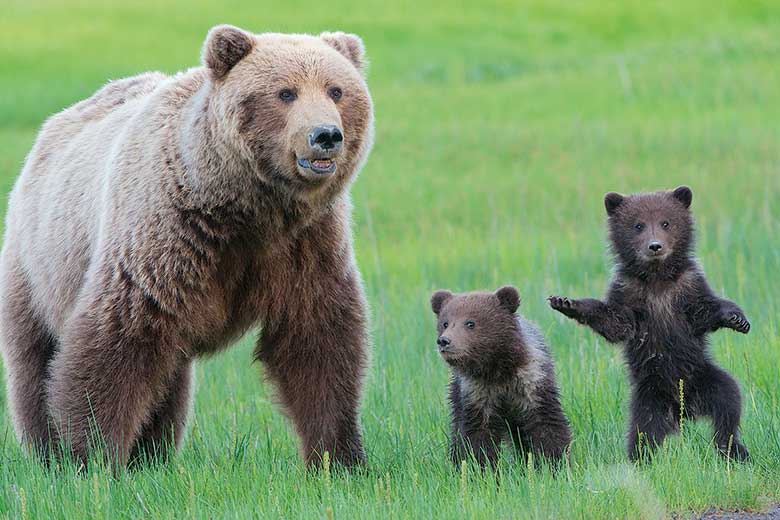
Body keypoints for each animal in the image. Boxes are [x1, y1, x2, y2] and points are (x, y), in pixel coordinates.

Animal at [0, 25, 374, 472]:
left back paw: (153, 454)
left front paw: (341, 458)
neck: (246, 208)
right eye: (285, 92)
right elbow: (115, 342)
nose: (325, 135)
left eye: (336, 90)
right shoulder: (168, 238)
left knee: (168, 378)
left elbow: (318, 341)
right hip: (37, 261)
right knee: (35, 359)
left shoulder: (304, 244)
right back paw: (47, 453)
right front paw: (93, 457)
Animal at [430, 286, 568, 470]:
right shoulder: (477, 392)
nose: (444, 341)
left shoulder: (532, 382)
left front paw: (554, 463)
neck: (498, 368)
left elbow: (546, 422)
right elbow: (478, 434)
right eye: (445, 323)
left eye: (470, 323)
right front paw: (482, 468)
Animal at [548, 185, 748, 462]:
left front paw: (737, 318)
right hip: (649, 396)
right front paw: (566, 302)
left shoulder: (688, 286)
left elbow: (704, 311)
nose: (655, 246)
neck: (657, 280)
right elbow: (615, 322)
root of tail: (683, 410)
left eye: (666, 222)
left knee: (728, 401)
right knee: (644, 432)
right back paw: (640, 460)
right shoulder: (628, 292)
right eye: (638, 225)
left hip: (702, 375)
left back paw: (733, 449)